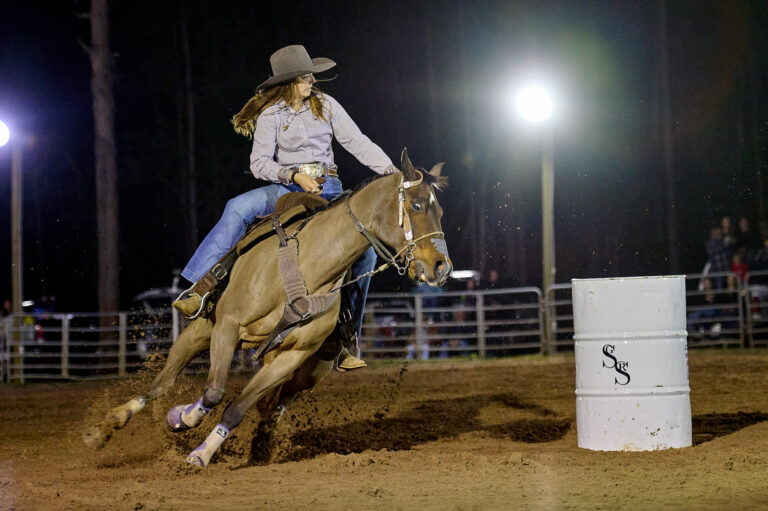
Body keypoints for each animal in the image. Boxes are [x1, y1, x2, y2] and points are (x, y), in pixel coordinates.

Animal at [85, 149, 450, 468]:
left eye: (441, 212)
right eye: (417, 205)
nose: (441, 267)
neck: (308, 265)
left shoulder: (292, 356)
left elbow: (237, 407)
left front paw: (201, 453)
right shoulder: (227, 326)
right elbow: (214, 392)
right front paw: (183, 418)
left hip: (309, 369)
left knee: (275, 404)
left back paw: (261, 445)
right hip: (201, 329)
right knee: (162, 382)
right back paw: (106, 426)